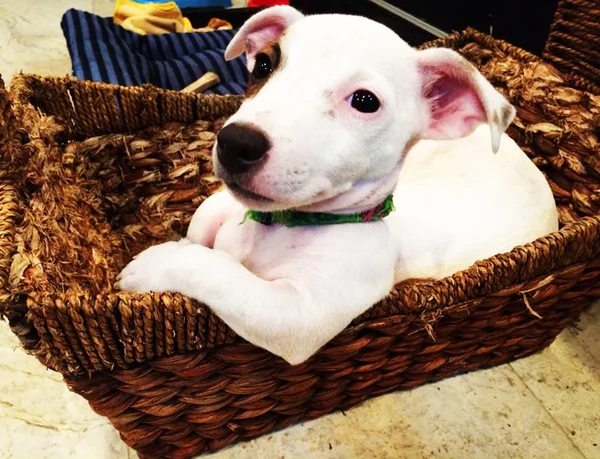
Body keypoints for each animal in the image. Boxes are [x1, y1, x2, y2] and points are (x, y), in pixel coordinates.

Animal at [117, 6, 556, 366]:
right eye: (263, 65)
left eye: (364, 101)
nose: (236, 143)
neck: (279, 225)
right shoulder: (226, 205)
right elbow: (204, 225)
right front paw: (185, 242)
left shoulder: (298, 315)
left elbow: (217, 270)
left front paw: (156, 265)